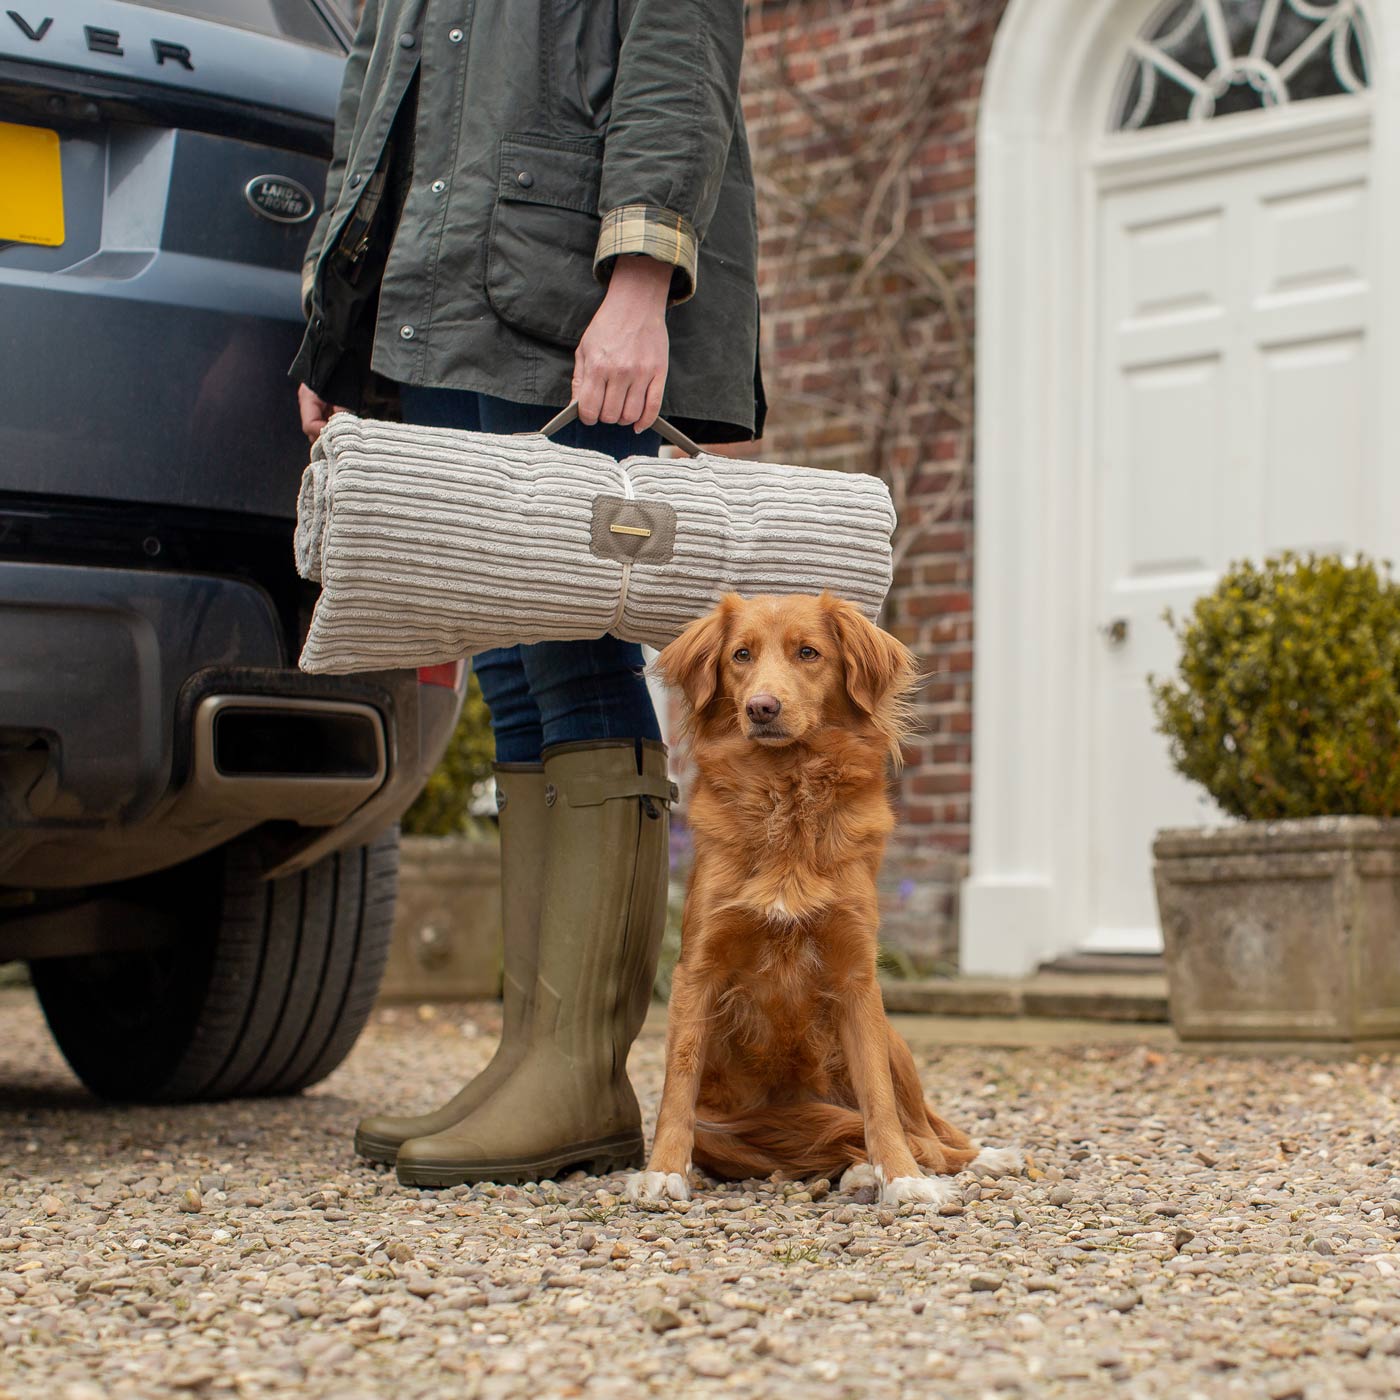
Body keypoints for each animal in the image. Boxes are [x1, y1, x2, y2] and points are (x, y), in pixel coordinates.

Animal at [630, 596, 1024, 1209]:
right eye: (740, 655)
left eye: (808, 652)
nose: (761, 707)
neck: (788, 793)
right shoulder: (697, 968)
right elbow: (679, 1076)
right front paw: (664, 1171)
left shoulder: (856, 977)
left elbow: (880, 1103)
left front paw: (904, 1177)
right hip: (728, 1133)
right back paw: (859, 1169)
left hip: (895, 1042)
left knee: (932, 1130)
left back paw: (978, 1156)